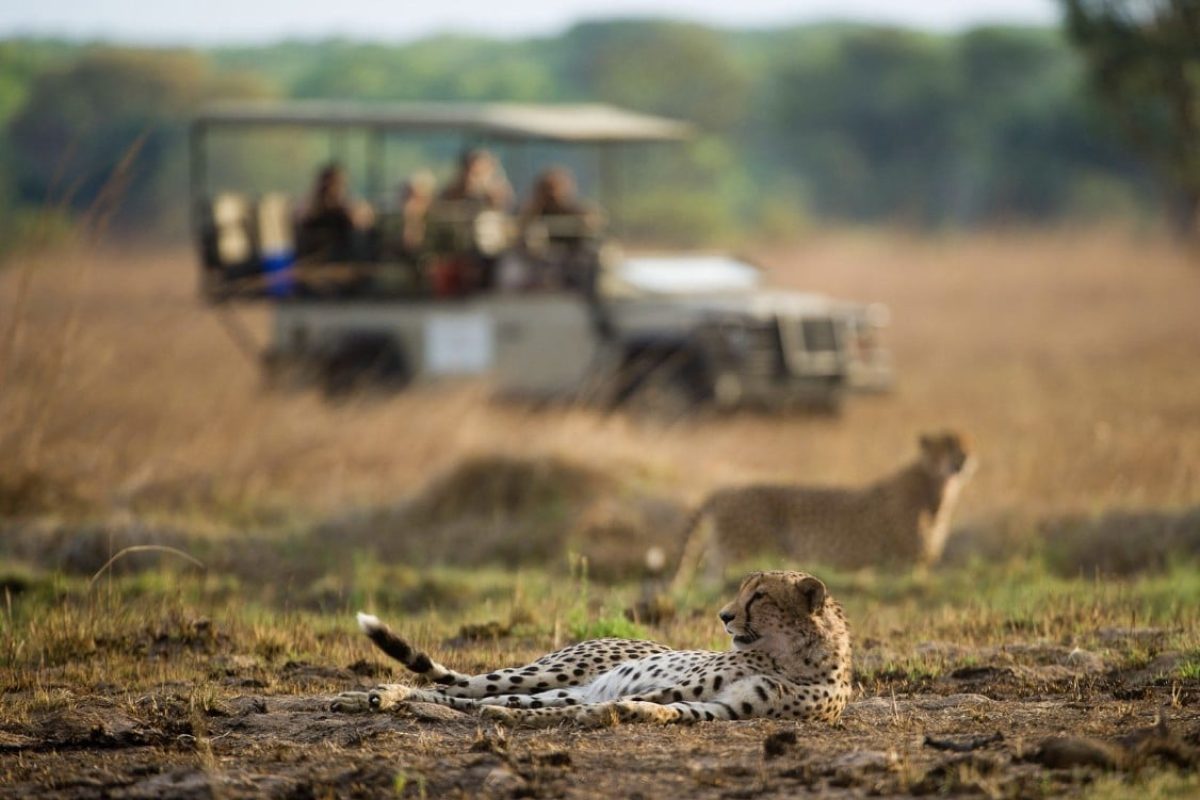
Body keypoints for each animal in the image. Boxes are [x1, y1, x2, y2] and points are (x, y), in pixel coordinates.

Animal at [331, 570, 851, 728]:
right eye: (745, 591)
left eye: (759, 596)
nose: (724, 616)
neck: (794, 657)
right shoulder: (683, 687)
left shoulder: (725, 708)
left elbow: (665, 711)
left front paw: (619, 714)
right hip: (547, 673)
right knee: (468, 688)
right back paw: (371, 696)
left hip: (560, 685)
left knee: (470, 698)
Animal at [671, 431, 975, 591]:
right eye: (947, 446)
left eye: (966, 445)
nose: (964, 458)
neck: (937, 486)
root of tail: (723, 490)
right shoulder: (904, 564)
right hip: (739, 551)